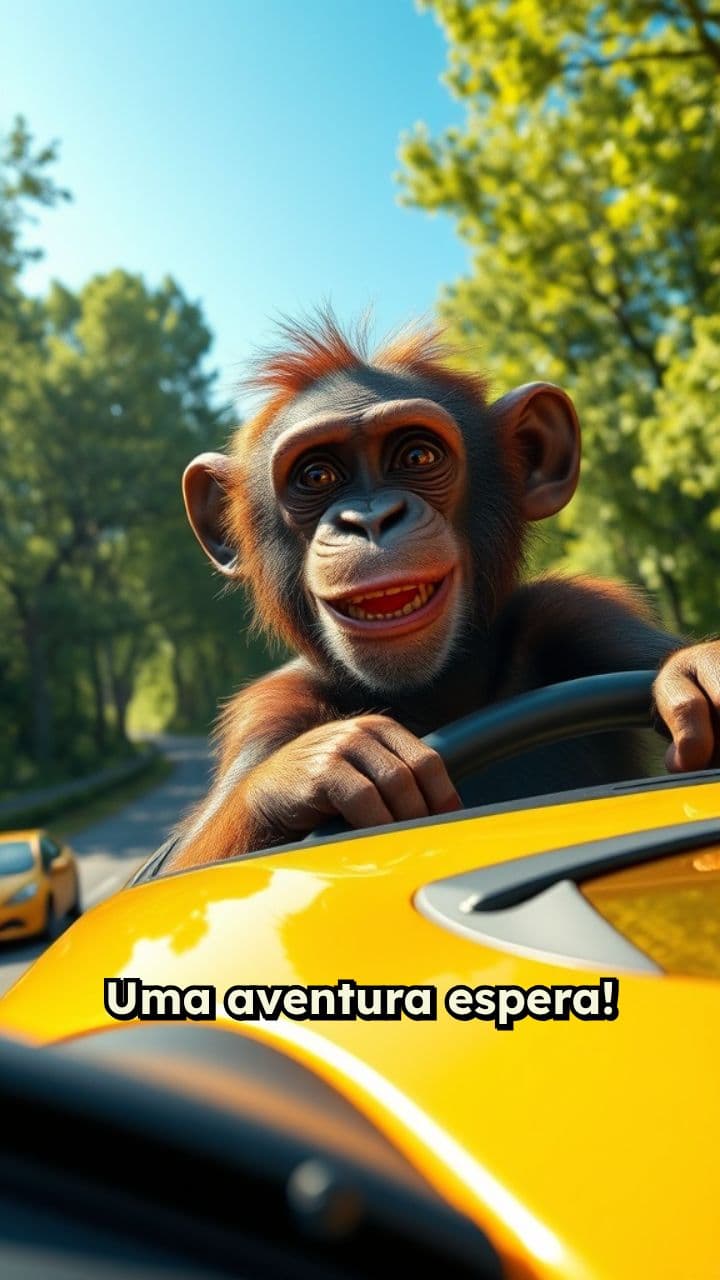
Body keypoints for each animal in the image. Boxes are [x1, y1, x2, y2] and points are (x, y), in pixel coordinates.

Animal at [161, 311, 720, 873]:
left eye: (417, 455)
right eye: (316, 475)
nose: (370, 519)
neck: (436, 697)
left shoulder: (577, 613)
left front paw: (697, 670)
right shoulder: (272, 711)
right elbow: (182, 871)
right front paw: (311, 765)